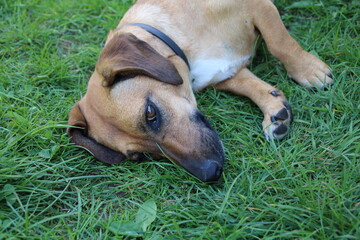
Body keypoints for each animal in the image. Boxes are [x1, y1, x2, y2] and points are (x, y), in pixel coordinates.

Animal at [67, 0, 332, 182]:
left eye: (150, 113)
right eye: (140, 156)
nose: (211, 172)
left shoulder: (260, 7)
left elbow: (280, 44)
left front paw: (308, 70)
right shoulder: (225, 73)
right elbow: (250, 85)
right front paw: (274, 109)